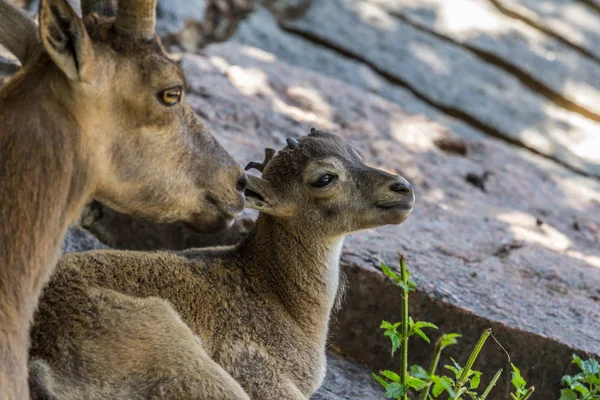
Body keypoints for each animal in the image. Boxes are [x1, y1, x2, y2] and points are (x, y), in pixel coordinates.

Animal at [30, 130, 414, 398]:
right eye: (324, 178)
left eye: (356, 153)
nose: (403, 189)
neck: (284, 301)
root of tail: (41, 363)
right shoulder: (258, 374)